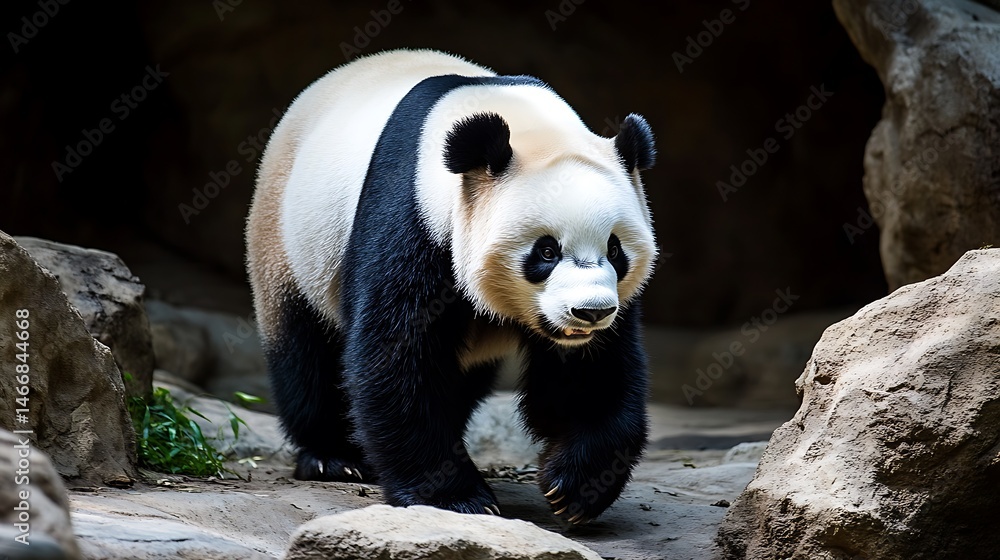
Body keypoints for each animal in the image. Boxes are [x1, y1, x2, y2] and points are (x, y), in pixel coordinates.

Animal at [246, 49, 658, 524]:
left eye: (615, 249)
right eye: (546, 251)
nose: (590, 312)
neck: (529, 125)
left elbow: (593, 373)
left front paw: (574, 487)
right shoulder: (414, 214)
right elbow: (397, 354)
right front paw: (454, 497)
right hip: (287, 239)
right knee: (305, 348)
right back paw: (334, 456)